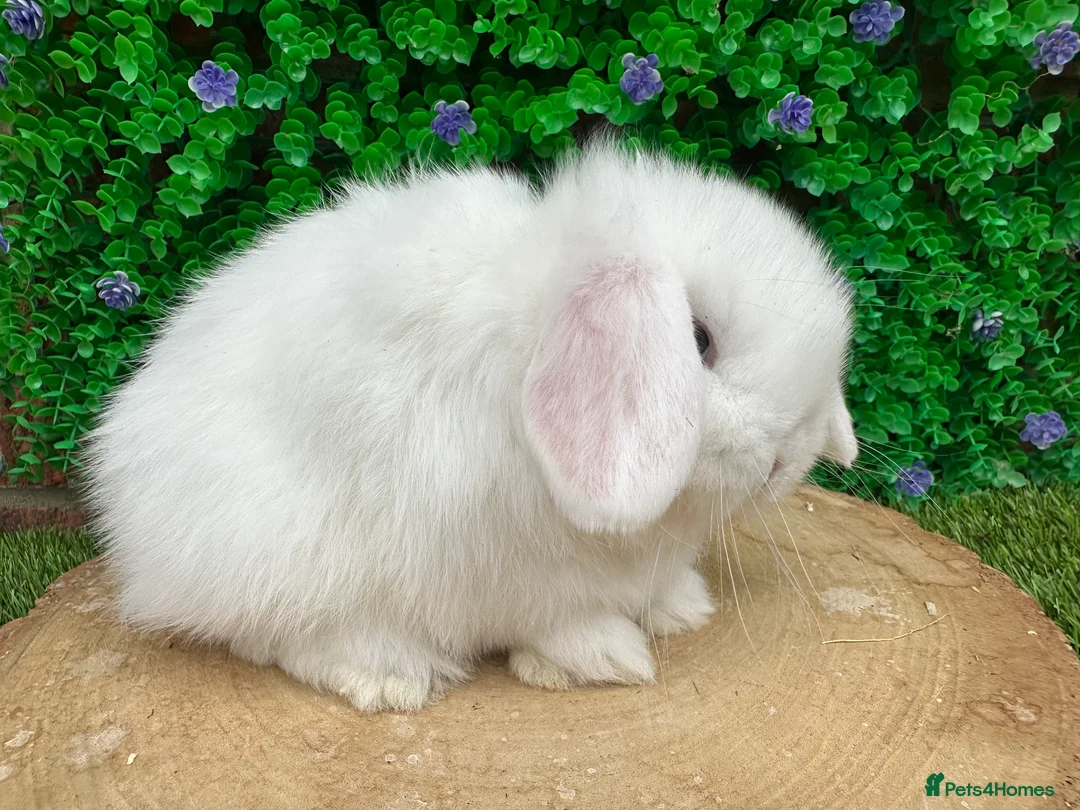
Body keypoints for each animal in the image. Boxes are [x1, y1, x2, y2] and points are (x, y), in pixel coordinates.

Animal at [82, 139, 858, 712]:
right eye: (696, 341)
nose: (789, 457)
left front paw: (682, 608)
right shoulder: (509, 568)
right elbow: (558, 622)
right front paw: (608, 657)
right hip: (280, 554)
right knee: (274, 637)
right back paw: (389, 675)